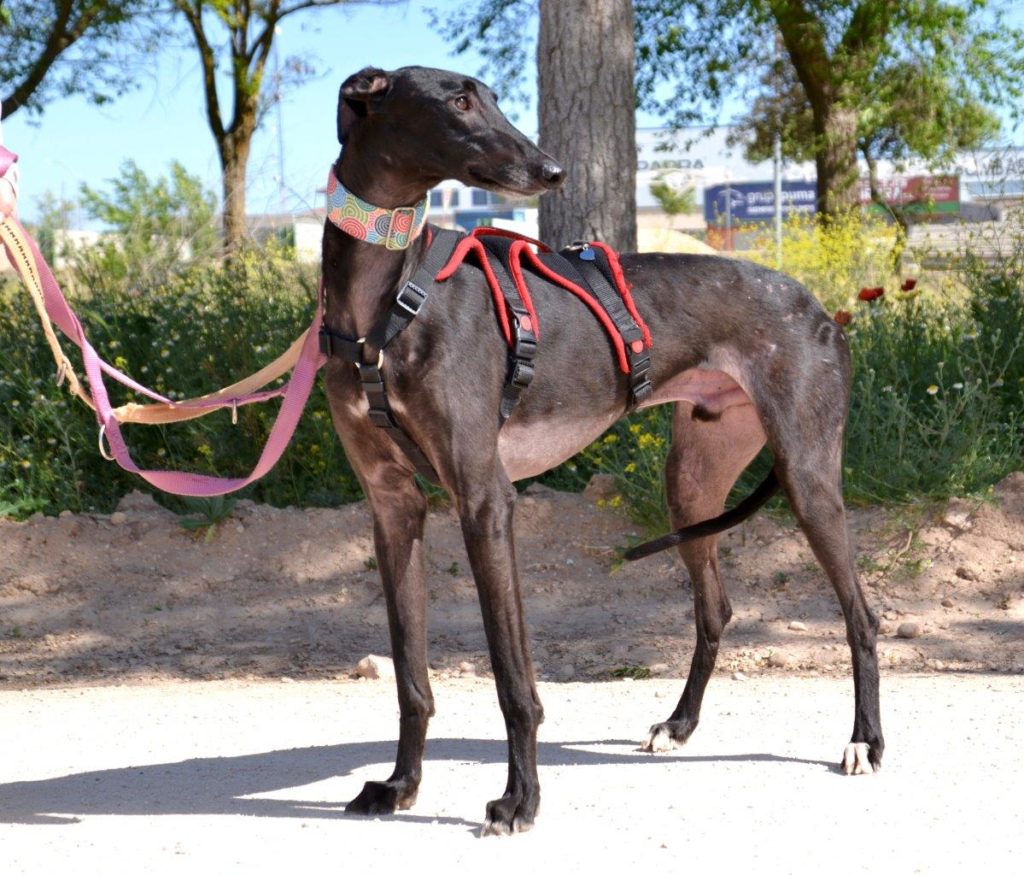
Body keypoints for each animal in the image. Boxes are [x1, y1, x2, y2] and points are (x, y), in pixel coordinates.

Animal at [321, 66, 880, 836]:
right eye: (458, 101)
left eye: (490, 97)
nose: (550, 169)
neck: (387, 298)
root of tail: (824, 307)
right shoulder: (392, 505)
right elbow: (410, 676)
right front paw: (400, 786)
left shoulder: (485, 499)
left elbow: (514, 681)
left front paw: (519, 800)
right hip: (692, 481)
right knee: (715, 608)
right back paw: (679, 726)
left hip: (808, 473)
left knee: (862, 614)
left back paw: (864, 742)